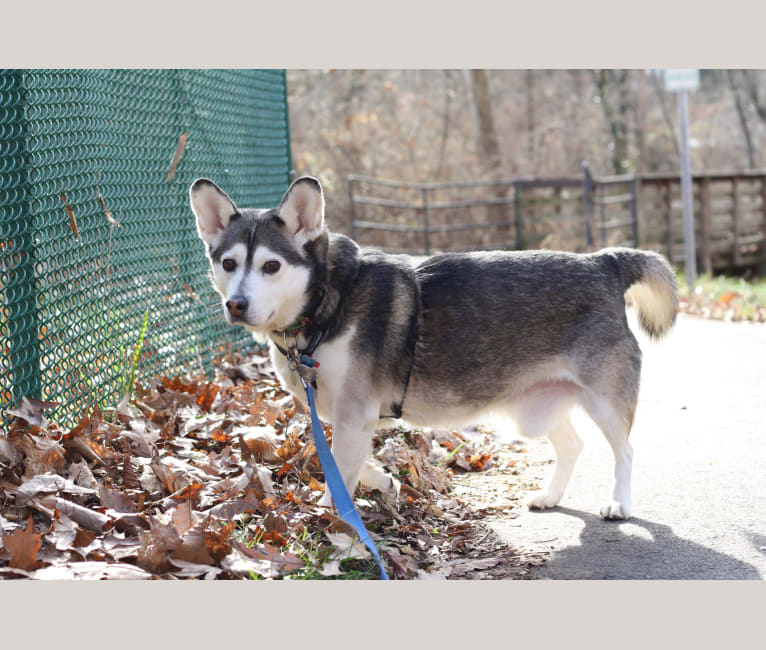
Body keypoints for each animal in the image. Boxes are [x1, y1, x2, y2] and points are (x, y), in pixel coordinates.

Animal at [190, 175, 680, 520]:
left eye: (271, 266)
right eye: (229, 263)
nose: (236, 304)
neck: (328, 300)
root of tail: (604, 261)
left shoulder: (354, 414)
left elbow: (339, 477)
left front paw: (338, 526)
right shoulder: (346, 420)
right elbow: (348, 462)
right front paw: (382, 482)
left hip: (604, 402)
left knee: (624, 450)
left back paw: (619, 504)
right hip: (533, 408)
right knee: (572, 445)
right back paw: (551, 495)